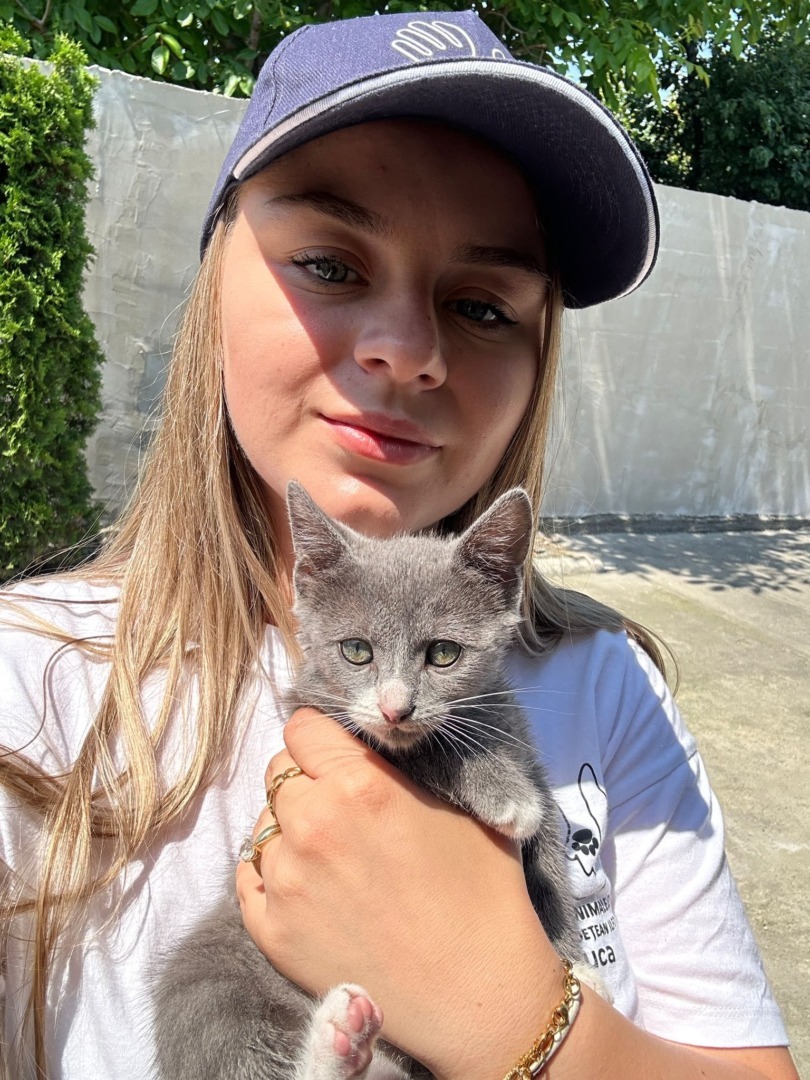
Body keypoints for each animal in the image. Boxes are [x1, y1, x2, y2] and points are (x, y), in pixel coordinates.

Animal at [153, 482, 587, 1080]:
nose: (395, 709)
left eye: (443, 653)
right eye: (356, 650)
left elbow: (547, 852)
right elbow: (425, 753)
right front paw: (503, 794)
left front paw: (573, 956)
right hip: (210, 977)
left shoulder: (521, 742)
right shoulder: (316, 709)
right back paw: (337, 1041)